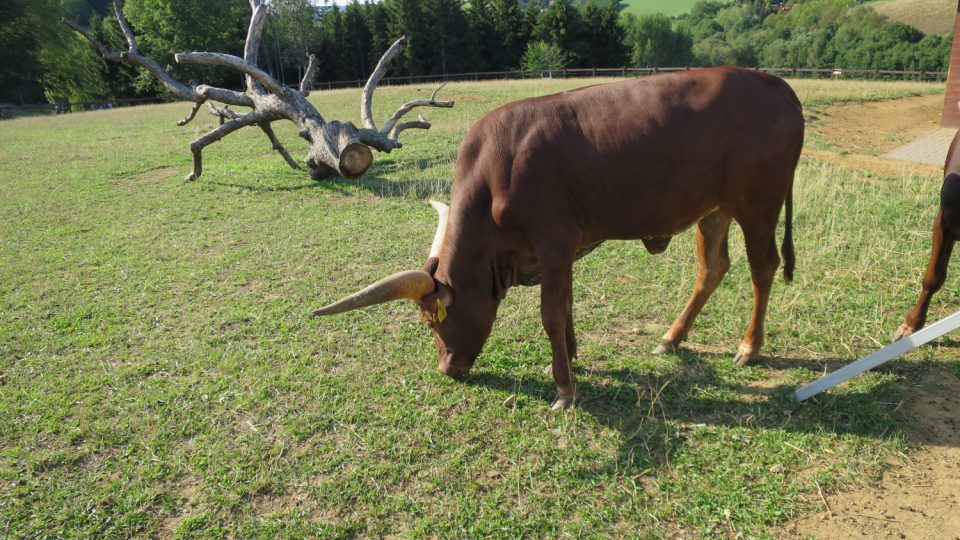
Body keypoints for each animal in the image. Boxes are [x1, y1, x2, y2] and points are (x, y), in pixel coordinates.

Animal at [314, 69, 804, 412]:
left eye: (431, 322)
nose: (447, 369)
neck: (496, 170)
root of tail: (774, 83)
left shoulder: (553, 244)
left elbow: (551, 313)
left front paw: (565, 388)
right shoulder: (561, 252)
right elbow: (566, 306)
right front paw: (573, 356)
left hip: (758, 205)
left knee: (762, 267)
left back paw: (749, 347)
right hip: (713, 210)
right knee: (712, 269)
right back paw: (671, 337)